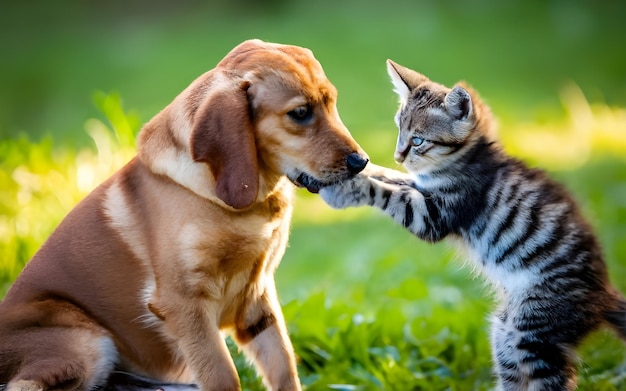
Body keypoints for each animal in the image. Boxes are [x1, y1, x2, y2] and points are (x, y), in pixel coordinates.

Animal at [0, 39, 368, 391]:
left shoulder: (258, 298)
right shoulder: (184, 303)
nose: (361, 162)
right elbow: (223, 376)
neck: (250, 203)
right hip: (84, 341)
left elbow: (284, 368)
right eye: (301, 113)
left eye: (332, 103)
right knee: (23, 383)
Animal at [322, 59, 624, 390]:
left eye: (418, 140)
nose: (398, 154)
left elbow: (391, 194)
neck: (463, 160)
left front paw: (349, 188)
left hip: (534, 331)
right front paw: (359, 168)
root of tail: (603, 296)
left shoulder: (435, 214)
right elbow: (393, 178)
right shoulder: (422, 186)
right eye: (399, 130)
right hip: (505, 334)